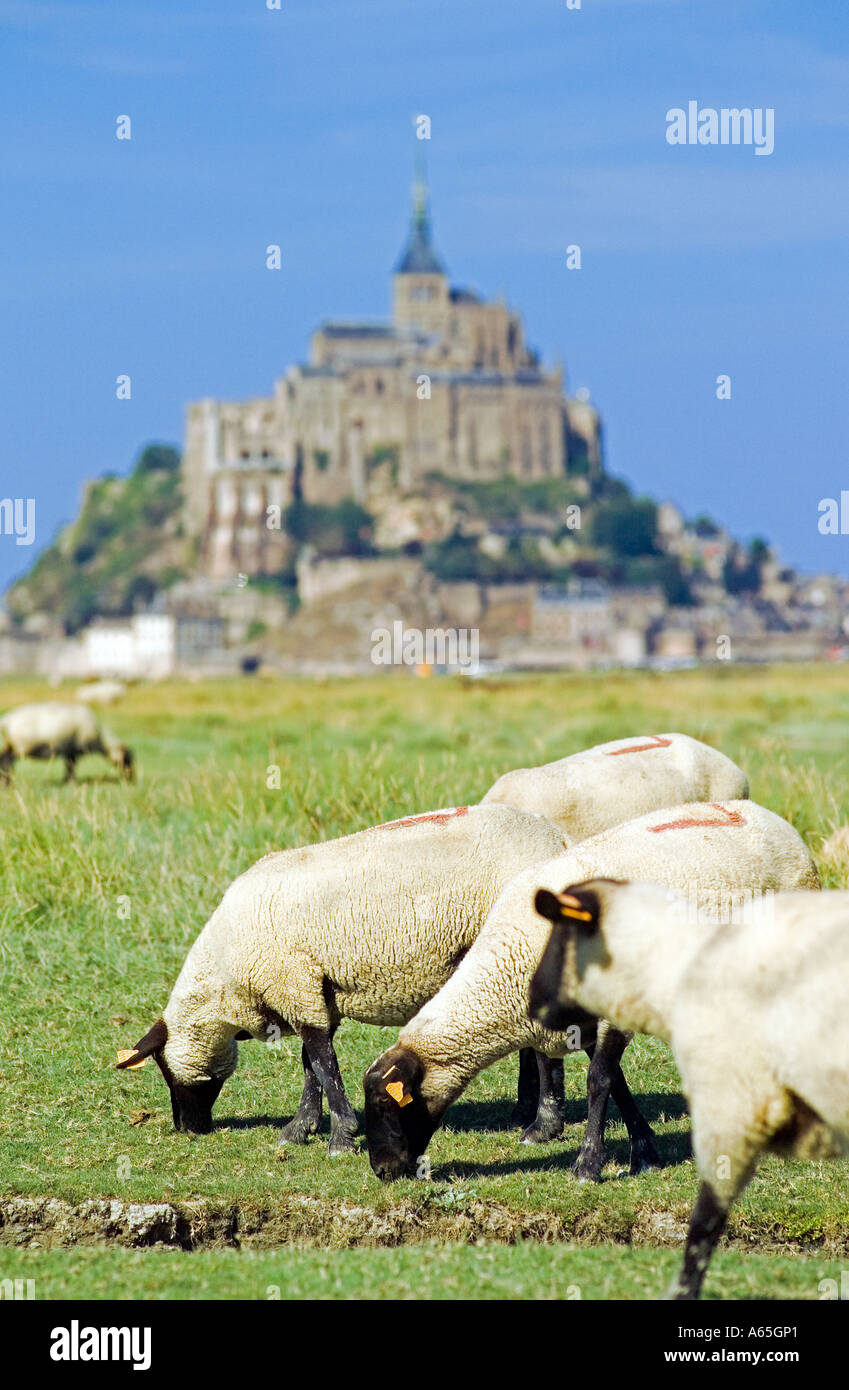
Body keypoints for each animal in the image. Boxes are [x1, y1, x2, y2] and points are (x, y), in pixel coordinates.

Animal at [0, 701, 134, 783]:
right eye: (127, 758)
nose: (131, 778)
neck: (101, 740)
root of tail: (7, 720)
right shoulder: (76, 751)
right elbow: (71, 767)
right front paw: (70, 781)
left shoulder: (69, 751)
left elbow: (68, 766)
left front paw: (66, 780)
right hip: (19, 747)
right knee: (6, 762)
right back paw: (7, 782)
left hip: (10, 745)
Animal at [117, 803, 591, 1153]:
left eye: (163, 1069)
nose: (186, 1127)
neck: (226, 980)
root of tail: (559, 840)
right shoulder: (310, 990)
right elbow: (312, 1062)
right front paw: (301, 1128)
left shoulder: (293, 983)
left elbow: (322, 1059)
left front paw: (341, 1136)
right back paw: (524, 1111)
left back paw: (542, 1126)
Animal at [363, 799, 819, 1183]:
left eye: (386, 1104)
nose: (382, 1172)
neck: (514, 960)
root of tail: (775, 821)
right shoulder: (579, 1023)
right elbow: (616, 1081)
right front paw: (644, 1152)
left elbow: (599, 1079)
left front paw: (588, 1165)